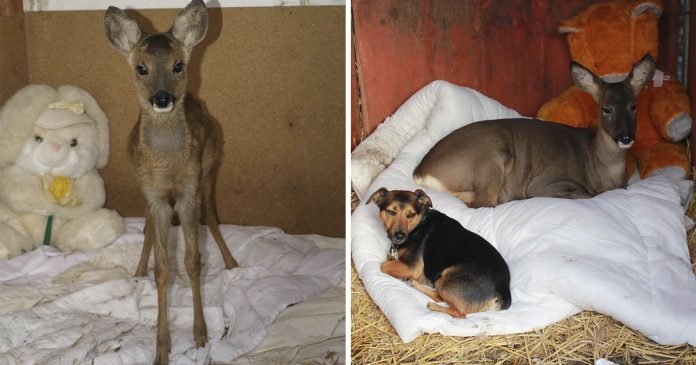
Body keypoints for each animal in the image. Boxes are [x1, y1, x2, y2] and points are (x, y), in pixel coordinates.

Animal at [370, 188, 512, 316]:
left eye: (411, 215)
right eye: (390, 212)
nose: (399, 236)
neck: (419, 224)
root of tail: (503, 288)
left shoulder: (411, 267)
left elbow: (383, 265)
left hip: (448, 276)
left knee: (456, 311)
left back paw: (429, 302)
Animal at [414, 54, 656, 208]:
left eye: (634, 106)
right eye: (606, 108)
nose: (625, 136)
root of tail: (420, 172)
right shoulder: (545, 181)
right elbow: (588, 195)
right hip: (490, 157)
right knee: (483, 203)